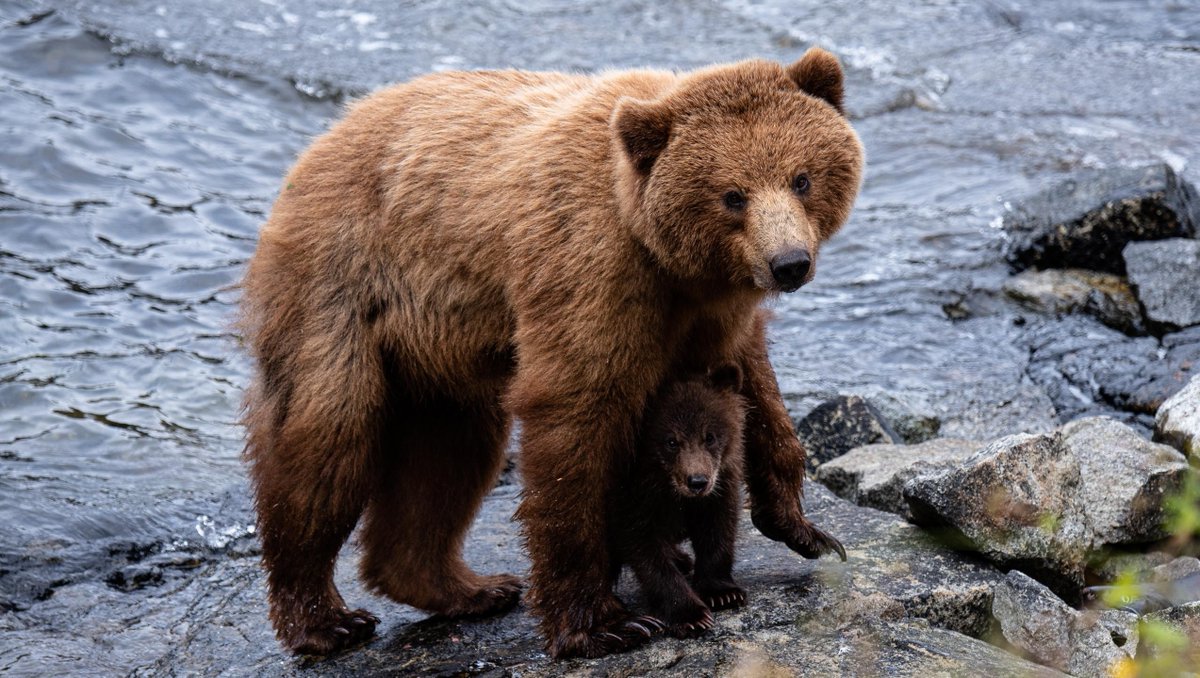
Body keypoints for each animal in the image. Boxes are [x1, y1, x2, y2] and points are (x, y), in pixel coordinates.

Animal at [610, 363, 749, 639]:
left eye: (710, 436)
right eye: (671, 441)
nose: (697, 481)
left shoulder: (720, 484)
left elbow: (718, 527)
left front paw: (723, 593)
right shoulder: (634, 497)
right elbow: (645, 549)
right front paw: (691, 615)